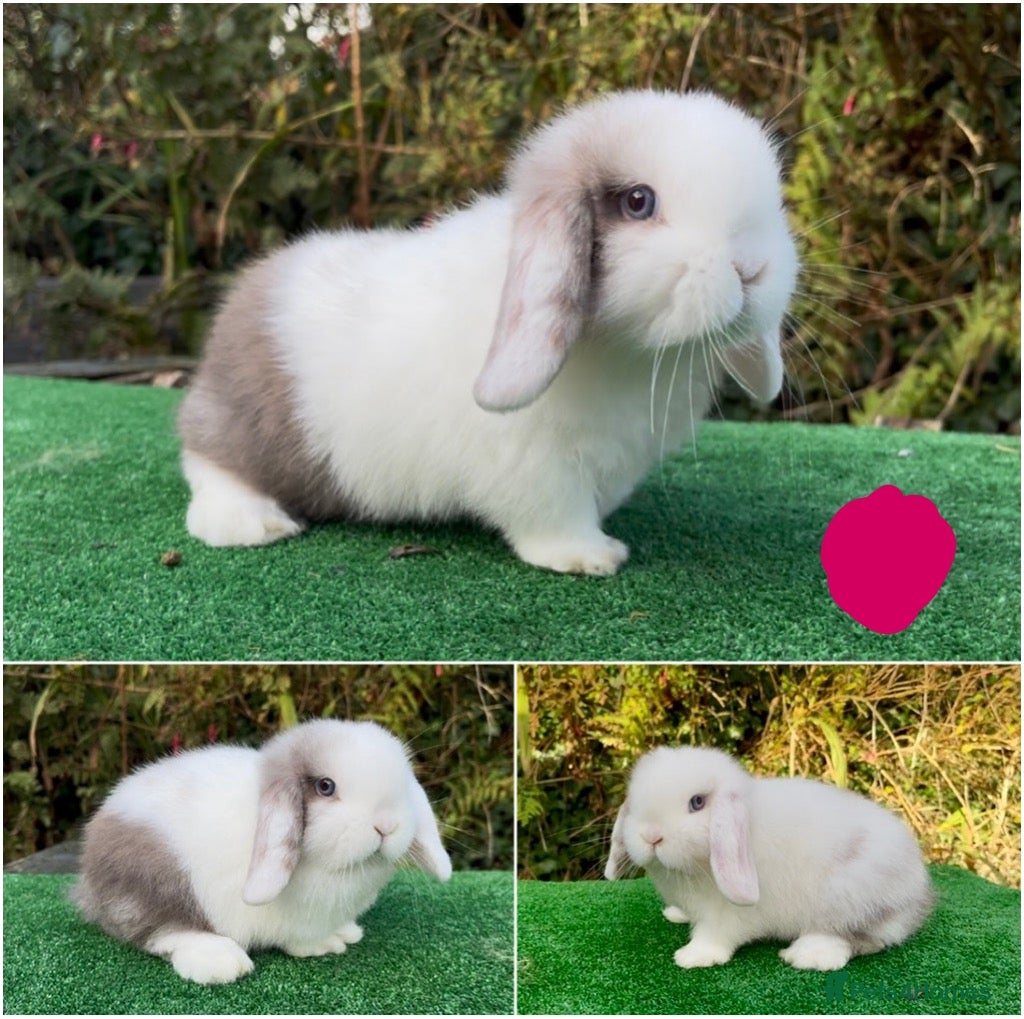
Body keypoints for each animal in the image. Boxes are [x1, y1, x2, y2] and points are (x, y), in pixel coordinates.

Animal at [71, 719, 452, 985]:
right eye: (325, 787)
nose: (386, 825)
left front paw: (341, 934)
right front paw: (323, 946)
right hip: (158, 884)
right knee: (161, 931)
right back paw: (221, 962)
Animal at [178, 89, 798, 576]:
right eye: (638, 201)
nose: (751, 269)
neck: (627, 353)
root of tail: (242, 299)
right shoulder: (534, 465)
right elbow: (554, 514)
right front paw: (591, 557)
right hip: (243, 429)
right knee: (206, 465)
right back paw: (254, 525)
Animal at [604, 746, 935, 971]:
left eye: (697, 802)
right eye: (634, 803)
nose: (651, 836)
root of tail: (918, 894)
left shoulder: (727, 913)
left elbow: (715, 933)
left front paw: (693, 956)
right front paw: (677, 914)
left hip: (848, 896)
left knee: (861, 937)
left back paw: (808, 955)